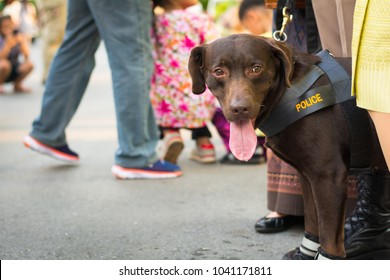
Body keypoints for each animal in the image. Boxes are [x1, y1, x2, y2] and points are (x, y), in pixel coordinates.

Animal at [188, 34, 386, 260]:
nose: (239, 109)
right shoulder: (308, 176)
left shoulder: (329, 176)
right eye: (219, 71)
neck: (288, 94)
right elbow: (312, 221)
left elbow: (329, 237)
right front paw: (304, 255)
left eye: (256, 68)